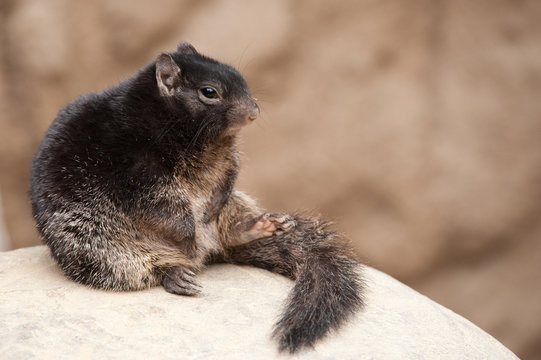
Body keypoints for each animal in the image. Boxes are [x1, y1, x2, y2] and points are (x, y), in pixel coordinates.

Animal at [31, 41, 364, 352]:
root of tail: (208, 253)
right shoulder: (137, 169)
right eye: (209, 92)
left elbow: (231, 171)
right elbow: (162, 203)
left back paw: (259, 225)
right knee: (144, 269)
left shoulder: (228, 156)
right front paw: (189, 233)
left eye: (240, 78)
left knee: (229, 229)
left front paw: (213, 211)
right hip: (95, 244)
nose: (254, 112)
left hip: (237, 203)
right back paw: (178, 271)